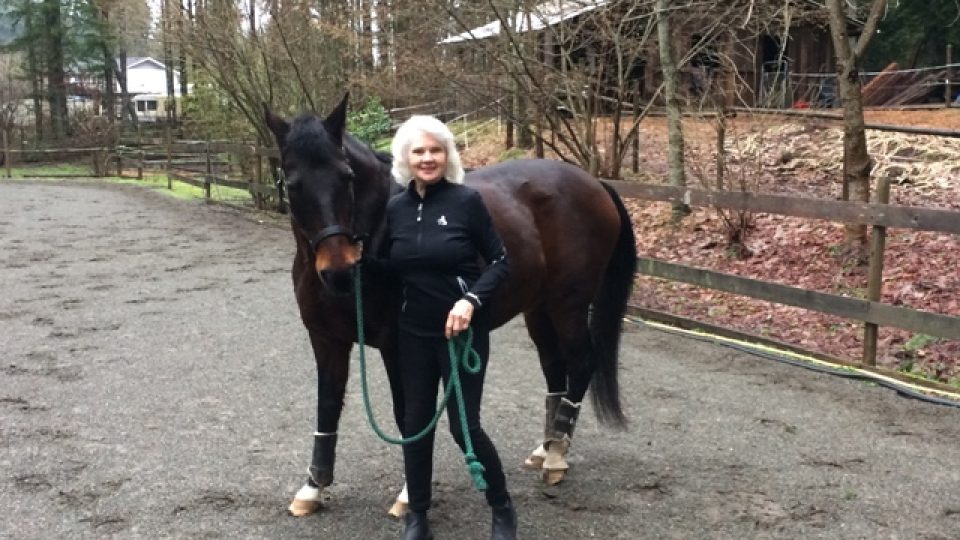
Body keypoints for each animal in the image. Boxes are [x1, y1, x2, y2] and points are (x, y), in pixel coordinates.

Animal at [264, 95, 637, 517]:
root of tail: (594, 183)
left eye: (346, 177)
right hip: (538, 308)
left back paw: (557, 455)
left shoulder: (398, 346)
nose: (340, 271)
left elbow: (407, 413)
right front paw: (313, 488)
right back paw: (545, 448)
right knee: (554, 366)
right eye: (292, 184)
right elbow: (327, 407)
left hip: (568, 305)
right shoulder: (326, 340)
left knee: (581, 362)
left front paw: (409, 493)